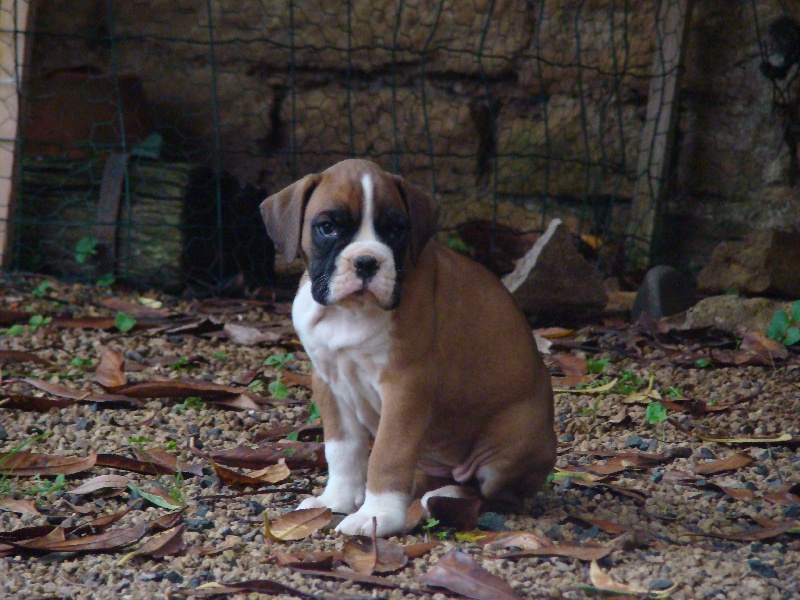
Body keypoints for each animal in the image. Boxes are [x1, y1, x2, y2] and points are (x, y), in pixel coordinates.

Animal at [262, 158, 556, 536]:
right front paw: (337, 499)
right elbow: (342, 450)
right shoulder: (329, 383)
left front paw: (378, 515)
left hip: (509, 447)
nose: (366, 261)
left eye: (397, 230)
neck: (350, 314)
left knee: (494, 494)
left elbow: (388, 455)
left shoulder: (405, 390)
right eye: (327, 227)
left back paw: (444, 497)